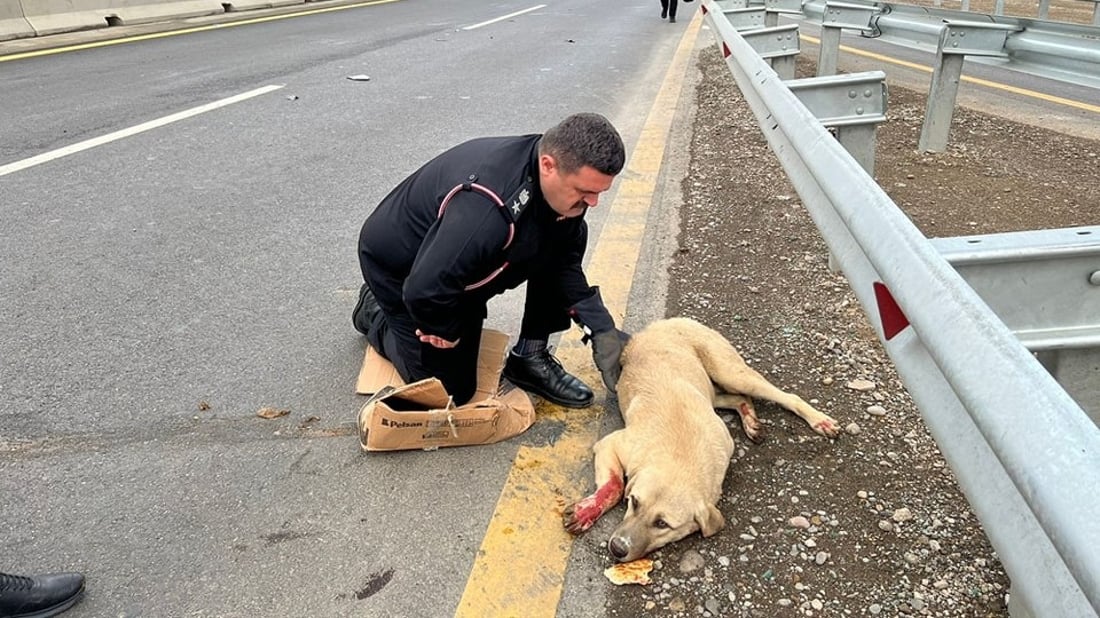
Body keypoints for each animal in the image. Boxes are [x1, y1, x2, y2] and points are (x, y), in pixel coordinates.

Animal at [563, 314, 836, 560]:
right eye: (634, 503)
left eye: (662, 524)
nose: (617, 548)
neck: (681, 453)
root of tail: (667, 322)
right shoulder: (612, 444)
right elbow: (615, 485)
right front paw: (586, 513)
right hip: (718, 382)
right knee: (738, 397)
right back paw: (754, 419)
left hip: (730, 373)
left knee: (783, 397)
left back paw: (816, 420)